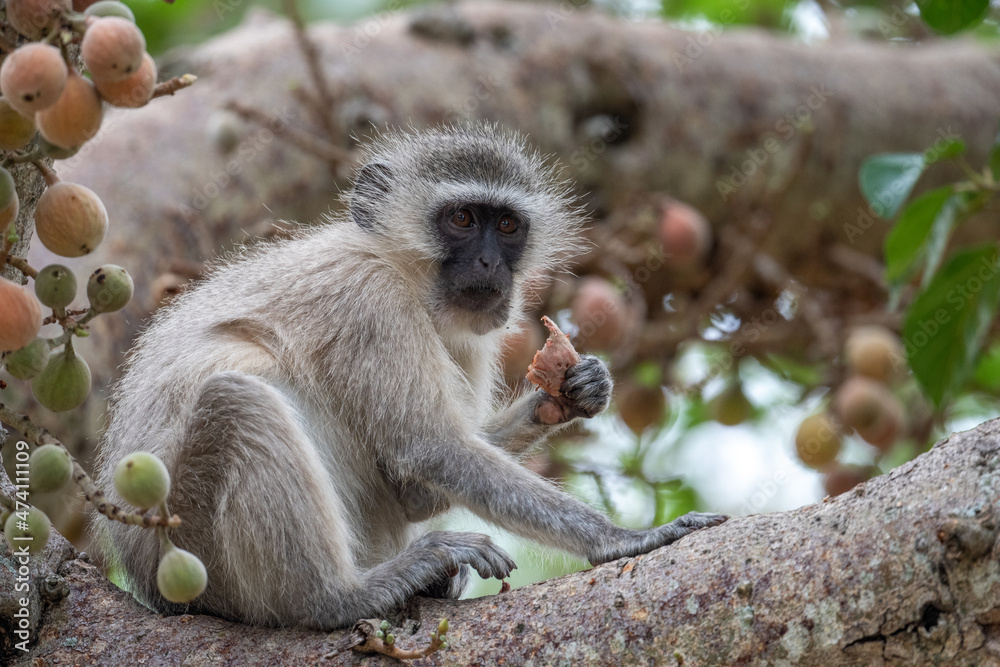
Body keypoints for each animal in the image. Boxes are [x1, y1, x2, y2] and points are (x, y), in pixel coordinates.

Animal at [95, 123, 726, 630]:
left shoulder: (473, 335)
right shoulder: (369, 300)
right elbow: (430, 445)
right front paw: (623, 539)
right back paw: (343, 597)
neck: (399, 269)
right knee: (237, 401)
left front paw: (571, 392)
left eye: (507, 225)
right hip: (191, 547)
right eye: (462, 218)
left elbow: (415, 489)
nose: (490, 264)